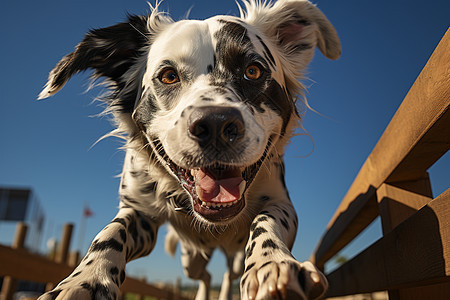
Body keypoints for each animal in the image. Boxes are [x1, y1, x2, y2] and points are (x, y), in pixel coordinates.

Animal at [38, 1, 342, 298]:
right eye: (168, 76)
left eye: (253, 71)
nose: (217, 125)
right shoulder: (138, 213)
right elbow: (109, 234)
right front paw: (85, 281)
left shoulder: (280, 201)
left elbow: (269, 221)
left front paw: (274, 265)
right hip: (190, 260)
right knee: (204, 276)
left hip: (228, 260)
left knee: (226, 276)